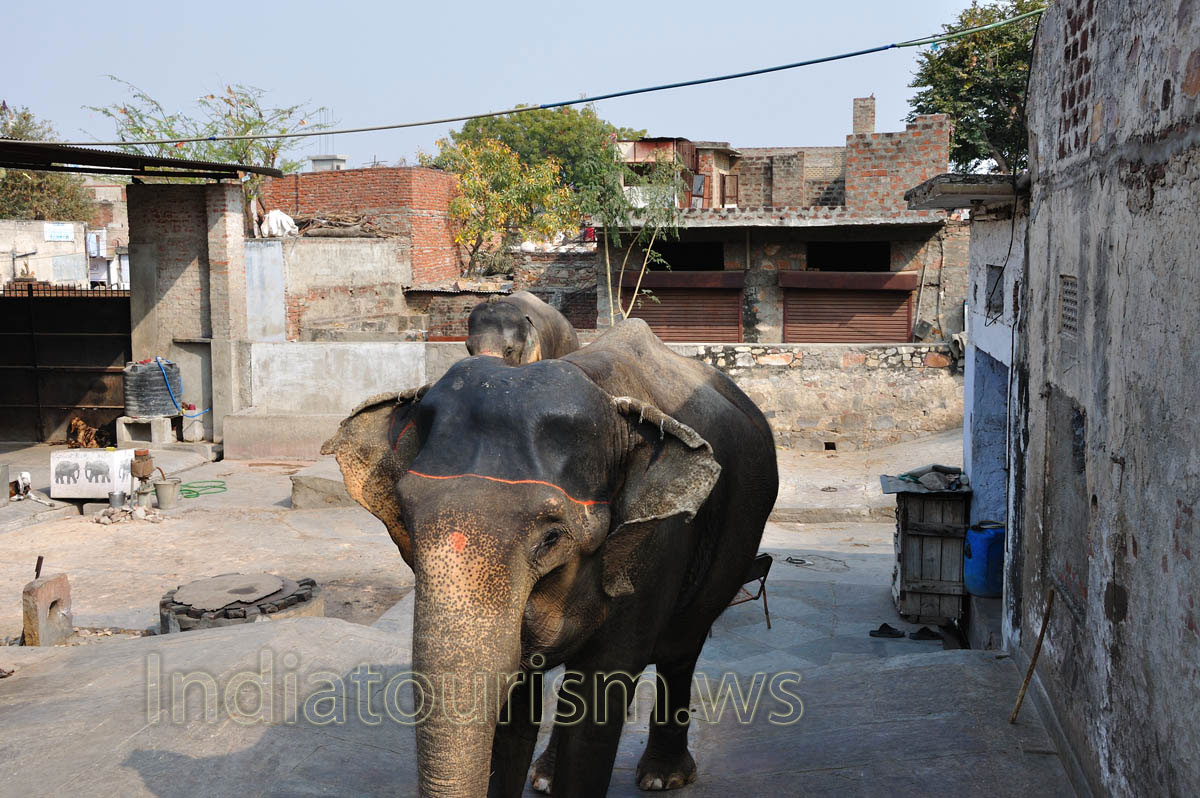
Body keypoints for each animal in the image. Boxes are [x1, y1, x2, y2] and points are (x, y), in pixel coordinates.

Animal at [323, 319, 778, 797]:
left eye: (551, 538)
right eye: (407, 522)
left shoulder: (653, 547)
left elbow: (599, 700)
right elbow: (515, 708)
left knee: (682, 646)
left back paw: (662, 777)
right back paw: (544, 775)